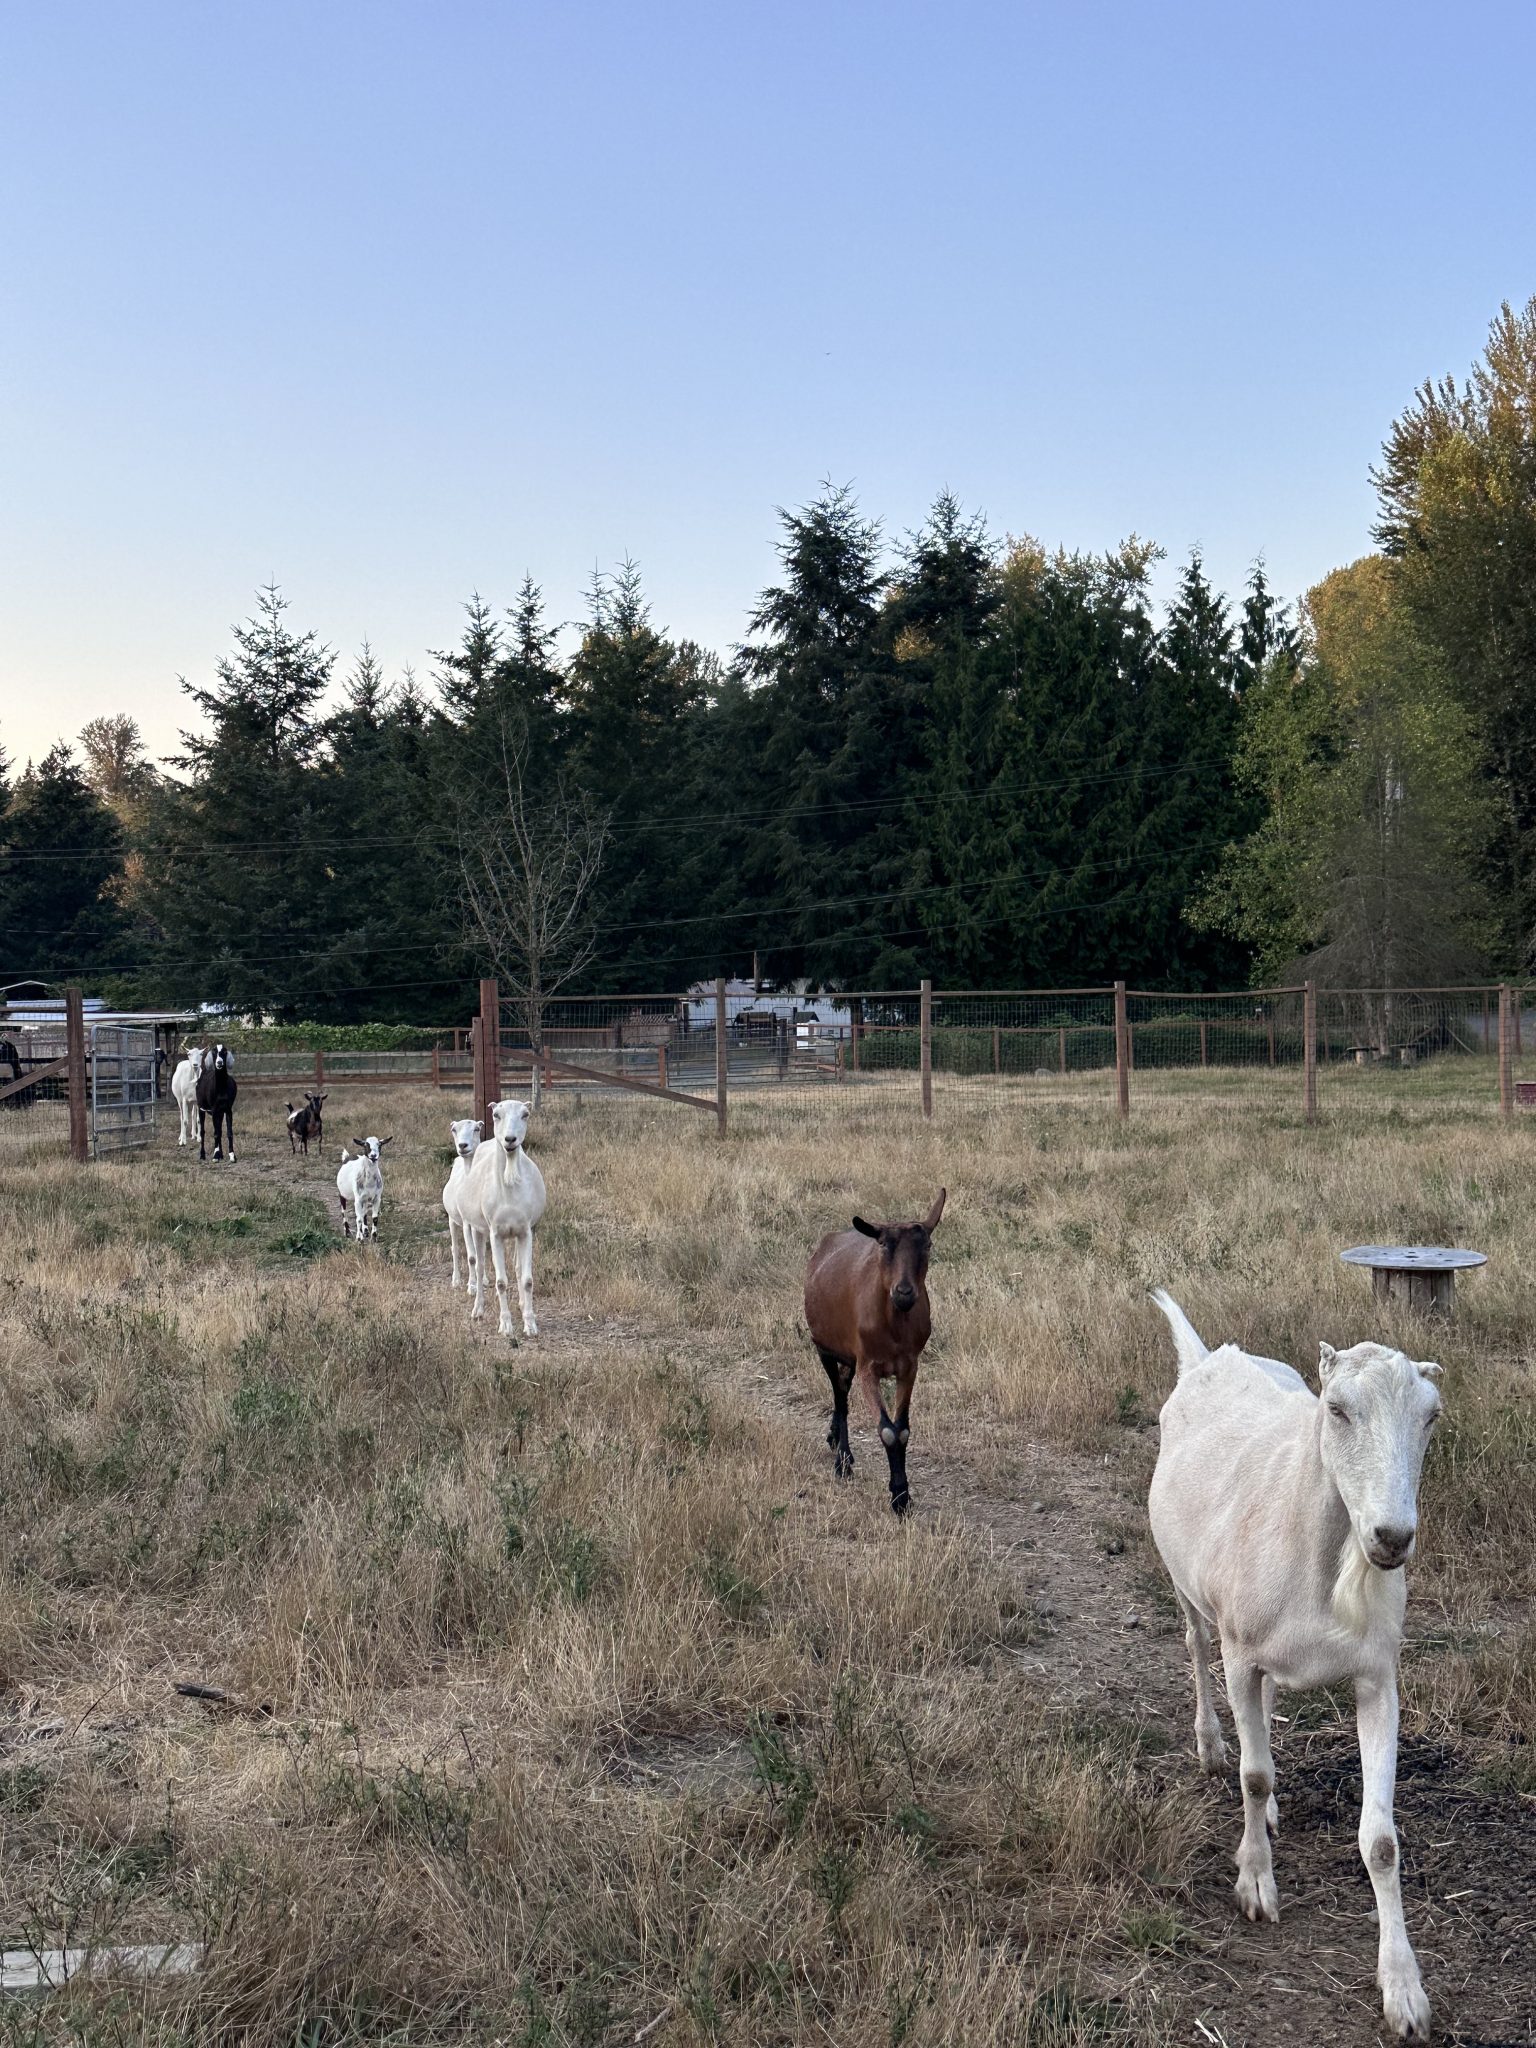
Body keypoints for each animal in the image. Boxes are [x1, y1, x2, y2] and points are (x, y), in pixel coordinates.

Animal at [456, 1097, 548, 1335]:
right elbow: (500, 1282)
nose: (510, 1139)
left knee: (516, 1268)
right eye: (496, 1115)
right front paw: (506, 1325)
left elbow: (526, 1279)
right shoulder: (495, 1233)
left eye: (525, 1114)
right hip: (477, 1229)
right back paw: (478, 1309)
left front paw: (530, 1323)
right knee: (479, 1266)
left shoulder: (525, 1231)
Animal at [806, 1196, 950, 1515]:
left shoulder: (909, 1367)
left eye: (927, 1245)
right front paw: (898, 1497)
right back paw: (843, 1461)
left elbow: (902, 1430)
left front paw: (903, 1495)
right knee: (840, 1396)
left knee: (842, 1388)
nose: (904, 1292)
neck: (893, 1325)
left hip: (849, 1358)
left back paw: (834, 1437)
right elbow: (887, 1431)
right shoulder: (867, 1367)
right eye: (884, 1244)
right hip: (825, 1348)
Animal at [1155, 1286, 1441, 2039]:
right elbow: (1252, 1776)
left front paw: (1404, 1989)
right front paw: (1255, 1881)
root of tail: (1209, 1354)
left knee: (1267, 1707)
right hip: (1187, 1585)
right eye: (1336, 1408)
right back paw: (1211, 1744)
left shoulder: (1378, 1677)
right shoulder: (1240, 1652)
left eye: (1431, 1417)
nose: (1391, 1536)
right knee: (1196, 1649)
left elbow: (1382, 1842)